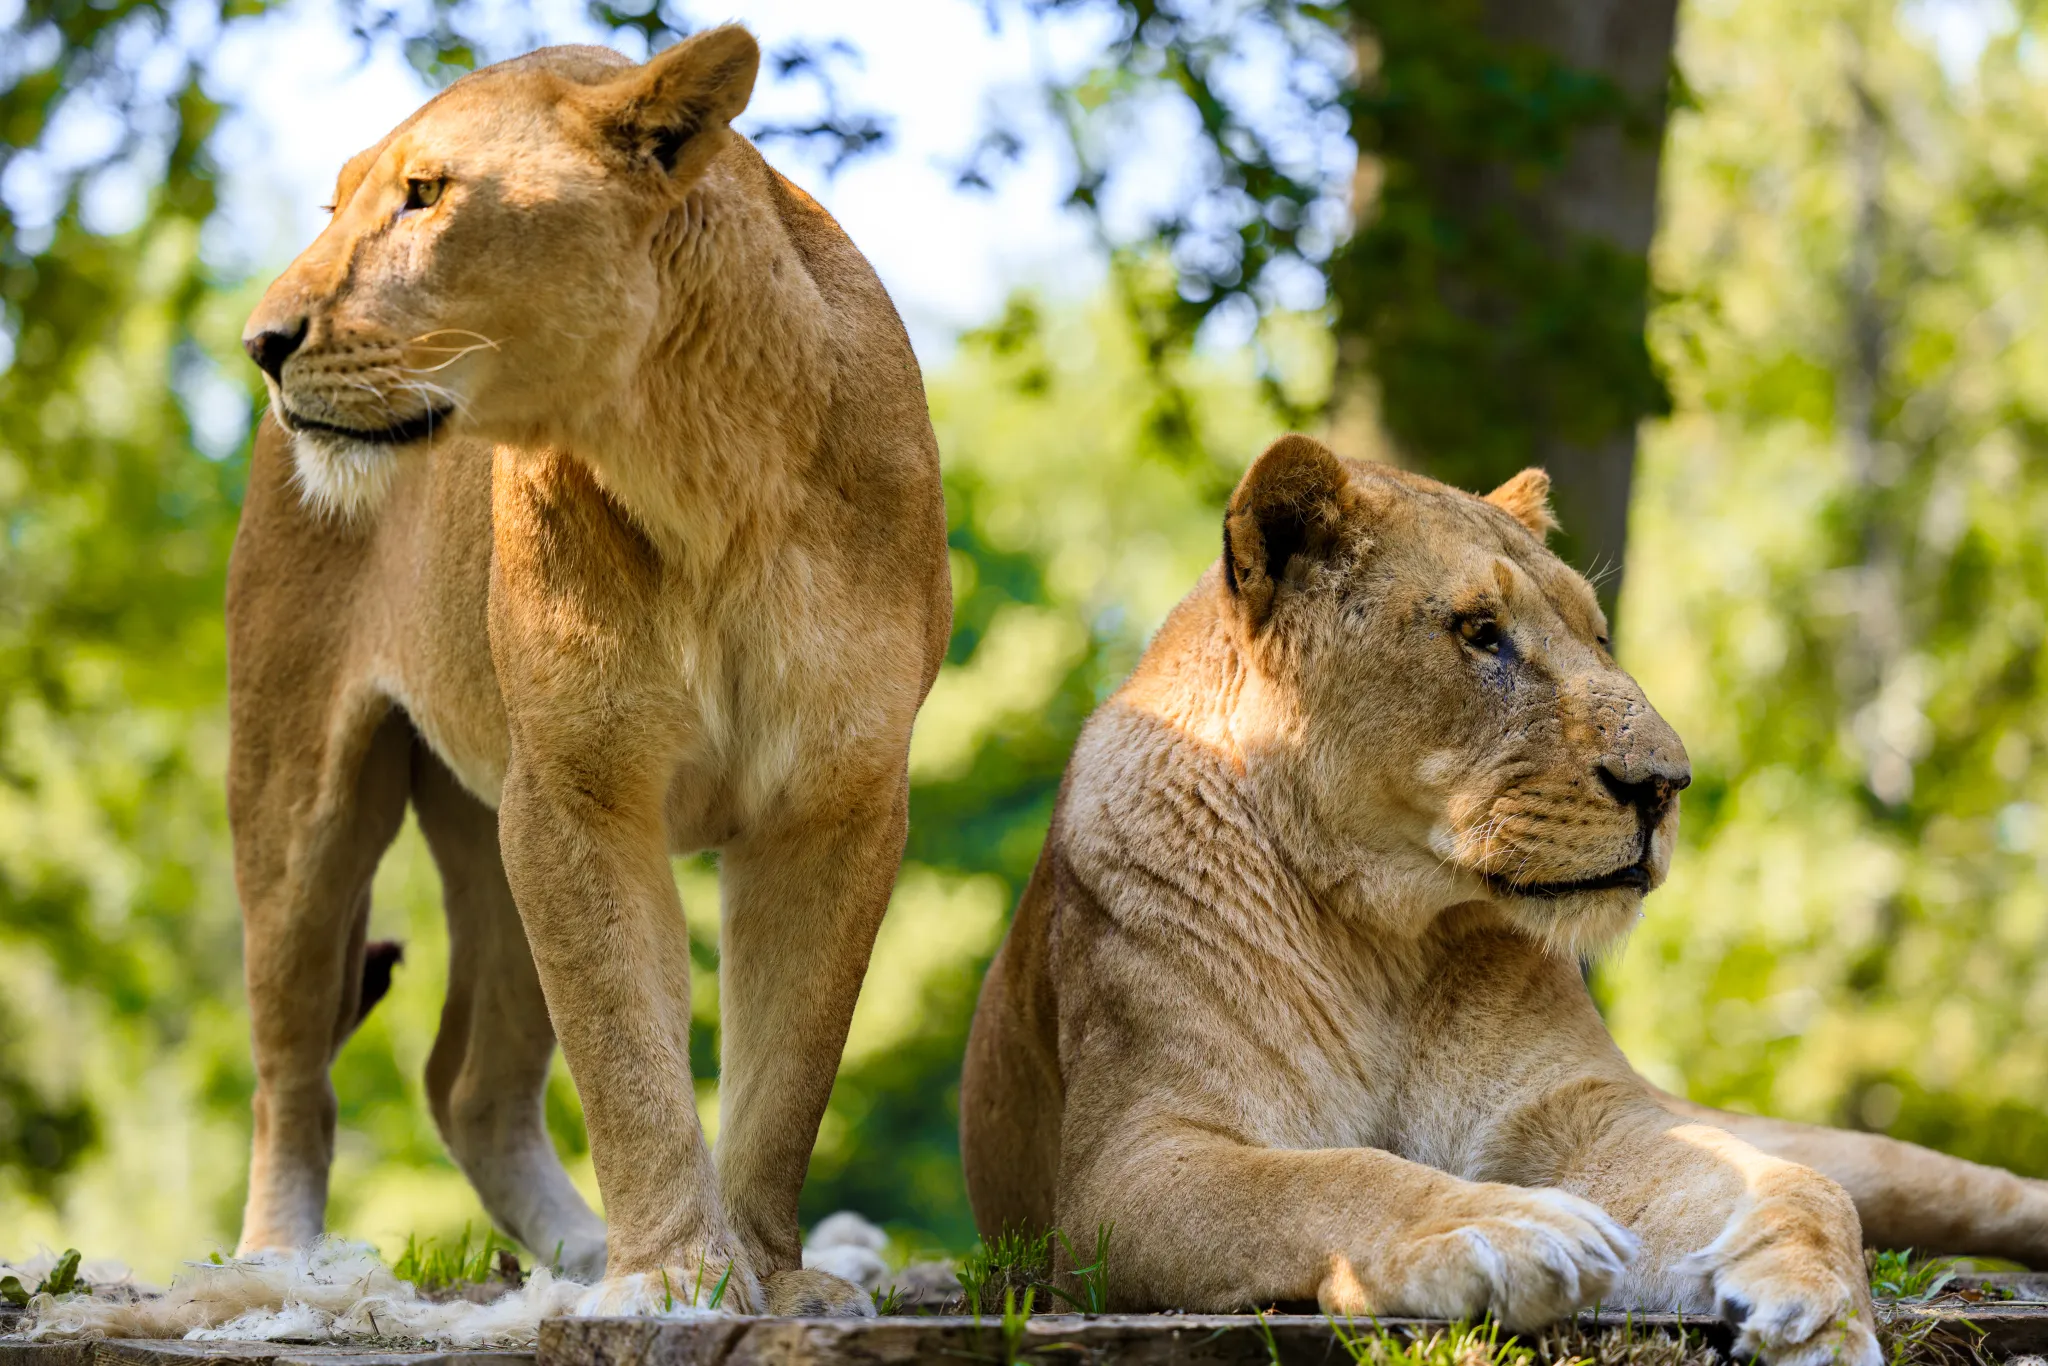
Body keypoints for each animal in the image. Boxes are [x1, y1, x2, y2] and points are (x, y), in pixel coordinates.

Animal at [229, 27, 949, 1316]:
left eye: (424, 193)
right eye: (337, 203)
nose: (259, 344)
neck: (698, 460)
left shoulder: (837, 799)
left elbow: (787, 1067)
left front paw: (769, 1274)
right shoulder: (577, 793)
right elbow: (625, 1052)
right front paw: (672, 1276)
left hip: (485, 821)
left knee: (469, 1083)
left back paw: (570, 1254)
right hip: (300, 796)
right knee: (290, 1063)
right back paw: (279, 1268)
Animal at [963, 435, 2048, 1365]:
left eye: (1598, 636)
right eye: (1481, 633)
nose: (1667, 785)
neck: (1382, 937)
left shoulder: (1586, 1112)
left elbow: (1790, 1183)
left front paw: (1818, 1304)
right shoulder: (1120, 1173)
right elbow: (1323, 1175)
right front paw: (1502, 1225)